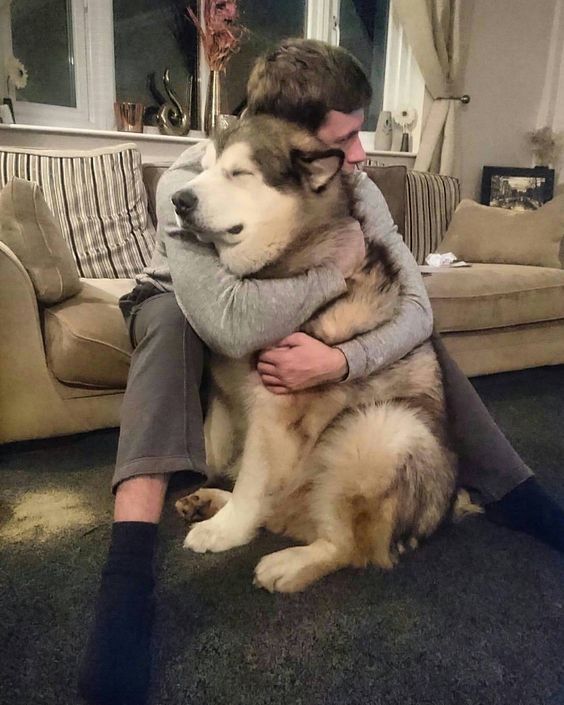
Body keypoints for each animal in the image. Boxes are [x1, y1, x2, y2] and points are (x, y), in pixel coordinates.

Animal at [170, 117, 456, 592]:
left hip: (379, 429)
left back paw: (289, 563)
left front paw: (226, 531)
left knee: (351, 548)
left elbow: (252, 479)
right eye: (204, 168)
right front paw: (217, 500)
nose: (178, 199)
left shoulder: (274, 409)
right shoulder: (226, 395)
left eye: (239, 173)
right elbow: (214, 451)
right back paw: (211, 500)